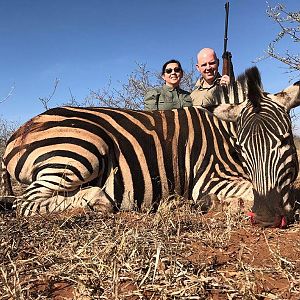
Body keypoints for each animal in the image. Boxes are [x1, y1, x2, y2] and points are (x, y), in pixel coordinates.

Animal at [0, 67, 298, 227]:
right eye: (241, 148)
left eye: (285, 140)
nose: (266, 216)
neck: (223, 132)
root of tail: (16, 134)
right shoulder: (209, 178)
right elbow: (251, 191)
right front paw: (219, 203)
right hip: (83, 150)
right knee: (26, 203)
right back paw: (98, 200)